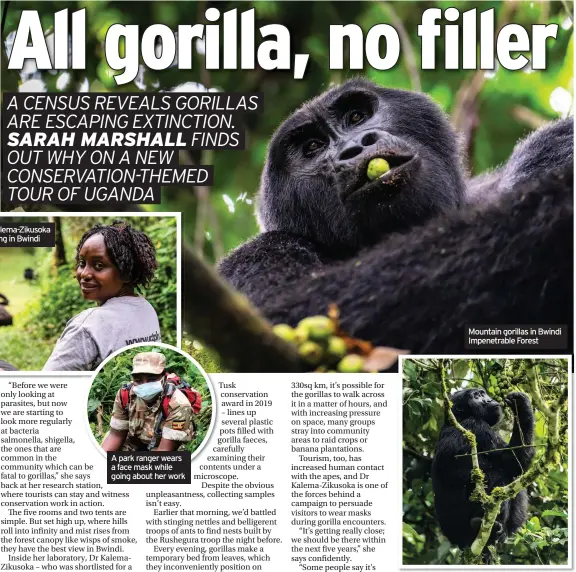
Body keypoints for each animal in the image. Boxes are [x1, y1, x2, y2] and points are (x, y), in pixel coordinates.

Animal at [218, 78, 572, 356]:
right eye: (313, 147)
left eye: (356, 117)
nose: (355, 147)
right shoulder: (253, 259)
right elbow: (292, 313)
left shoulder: (552, 145)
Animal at [432, 388, 536, 548]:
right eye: (476, 396)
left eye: (483, 393)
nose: (488, 399)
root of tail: (457, 541)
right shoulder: (477, 426)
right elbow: (512, 460)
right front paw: (522, 405)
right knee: (499, 477)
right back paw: (480, 524)